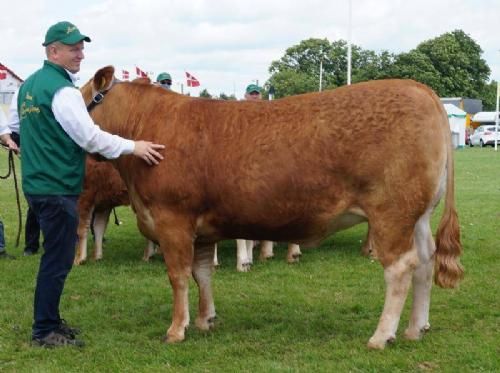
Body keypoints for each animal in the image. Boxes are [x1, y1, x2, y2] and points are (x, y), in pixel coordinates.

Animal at [80, 67, 462, 348]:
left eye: (83, 97)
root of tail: (418, 88)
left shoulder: (172, 220)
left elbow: (178, 276)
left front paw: (176, 329)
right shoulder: (201, 230)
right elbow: (202, 274)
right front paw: (205, 319)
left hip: (391, 213)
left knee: (400, 268)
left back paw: (382, 335)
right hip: (418, 215)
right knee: (425, 261)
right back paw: (415, 328)